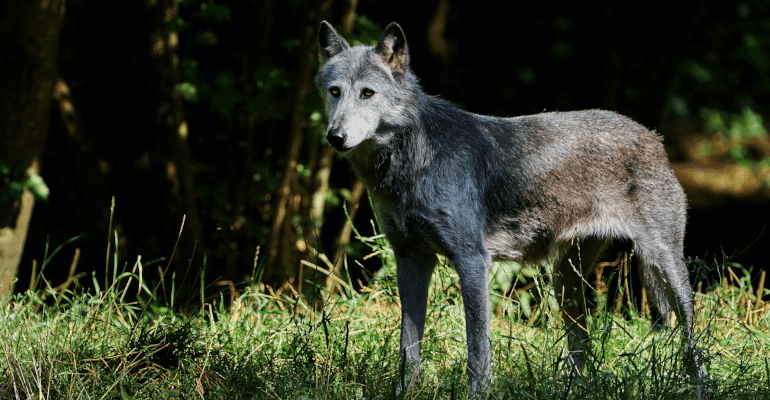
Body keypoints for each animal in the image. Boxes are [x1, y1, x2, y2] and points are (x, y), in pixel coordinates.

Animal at [316, 21, 704, 393]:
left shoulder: (472, 261)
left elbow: (477, 349)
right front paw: (404, 392)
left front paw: (478, 393)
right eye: (335, 92)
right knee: (583, 344)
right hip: (565, 282)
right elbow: (408, 347)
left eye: (367, 93)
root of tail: (653, 136)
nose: (334, 137)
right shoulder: (411, 259)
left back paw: (698, 386)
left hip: (665, 268)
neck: (413, 161)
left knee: (692, 337)